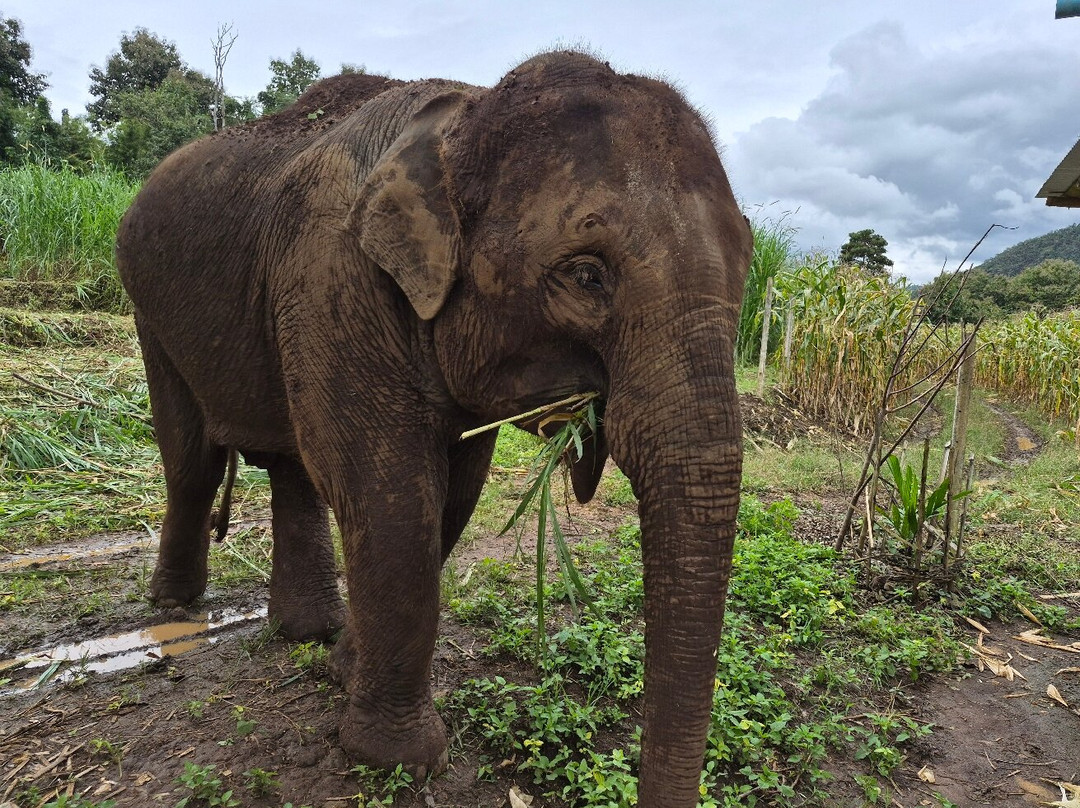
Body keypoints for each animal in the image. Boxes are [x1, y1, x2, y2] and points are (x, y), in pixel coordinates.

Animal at [114, 51, 752, 808]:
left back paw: (307, 631)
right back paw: (175, 605)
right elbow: (388, 492)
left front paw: (343, 669)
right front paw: (398, 762)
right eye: (586, 274)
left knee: (291, 464)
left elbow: (452, 492)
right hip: (148, 306)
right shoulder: (334, 278)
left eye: (748, 268)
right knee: (192, 459)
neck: (468, 111)